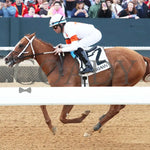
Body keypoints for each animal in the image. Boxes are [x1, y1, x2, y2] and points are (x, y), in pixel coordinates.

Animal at [4, 33, 150, 136]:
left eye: (21, 45)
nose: (6, 58)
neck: (56, 63)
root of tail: (140, 57)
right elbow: (43, 105)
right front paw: (51, 127)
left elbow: (63, 118)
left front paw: (84, 115)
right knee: (119, 106)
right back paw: (100, 121)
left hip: (120, 84)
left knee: (115, 108)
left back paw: (93, 128)